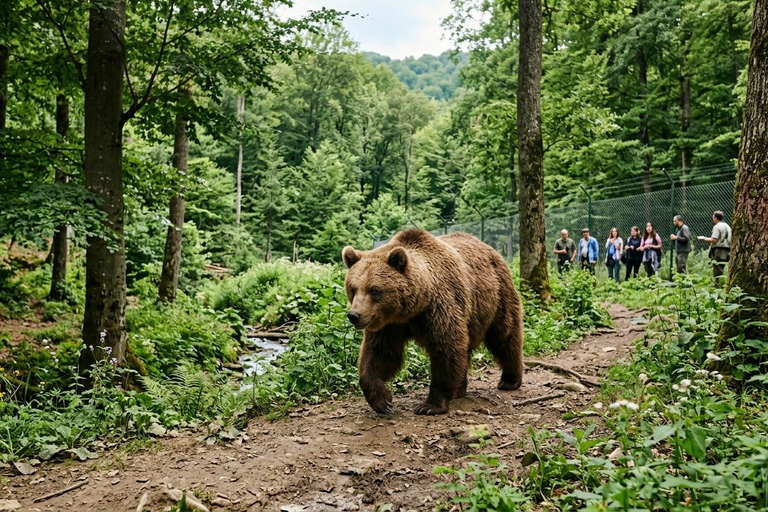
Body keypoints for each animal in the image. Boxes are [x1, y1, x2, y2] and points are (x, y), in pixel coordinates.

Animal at [341, 229, 524, 415]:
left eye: (374, 290)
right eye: (353, 288)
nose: (354, 315)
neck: (413, 309)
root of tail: (488, 247)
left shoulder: (439, 307)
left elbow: (446, 349)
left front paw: (430, 405)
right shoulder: (390, 324)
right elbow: (380, 353)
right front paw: (382, 401)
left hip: (495, 297)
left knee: (505, 335)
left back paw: (510, 380)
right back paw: (459, 389)